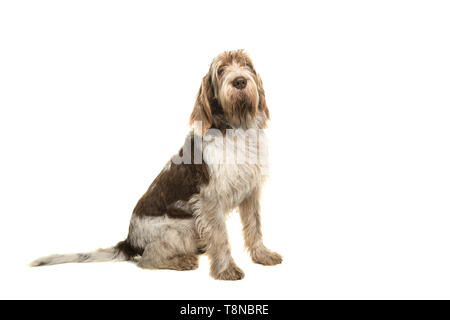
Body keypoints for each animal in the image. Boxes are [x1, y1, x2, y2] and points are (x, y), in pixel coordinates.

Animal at [29, 49, 282, 280]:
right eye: (220, 71)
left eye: (246, 65)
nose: (239, 81)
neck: (237, 129)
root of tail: (129, 241)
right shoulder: (210, 199)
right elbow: (220, 237)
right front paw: (226, 270)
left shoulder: (250, 191)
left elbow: (254, 227)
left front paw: (262, 255)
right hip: (183, 228)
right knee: (147, 259)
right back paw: (182, 260)